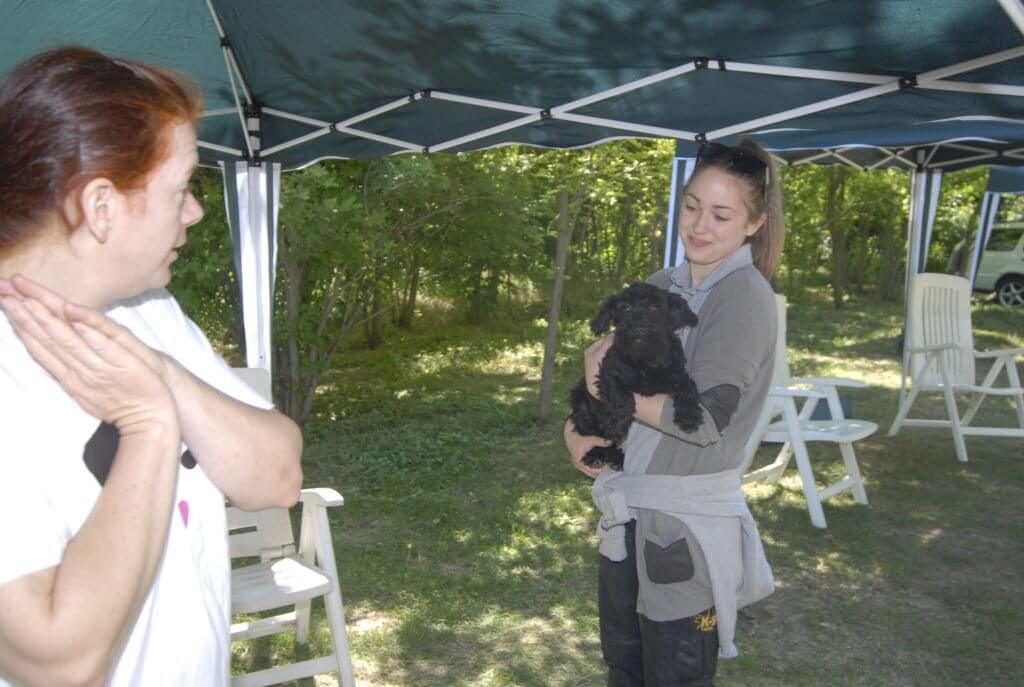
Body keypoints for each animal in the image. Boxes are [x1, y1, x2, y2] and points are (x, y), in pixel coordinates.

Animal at [568, 283, 703, 471]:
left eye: (656, 307)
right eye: (625, 308)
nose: (639, 329)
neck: (644, 361)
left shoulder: (679, 375)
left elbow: (688, 389)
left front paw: (689, 416)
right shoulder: (609, 375)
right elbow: (622, 400)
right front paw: (618, 424)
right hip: (582, 407)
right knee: (602, 440)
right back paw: (600, 455)